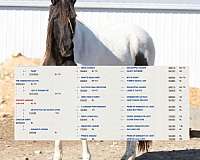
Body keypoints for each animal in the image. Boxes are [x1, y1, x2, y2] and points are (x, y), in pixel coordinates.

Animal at [41, 0, 155, 159]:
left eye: (74, 16)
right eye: (55, 17)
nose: (67, 48)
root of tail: (146, 36)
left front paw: (86, 155)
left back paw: (129, 155)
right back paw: (128, 154)